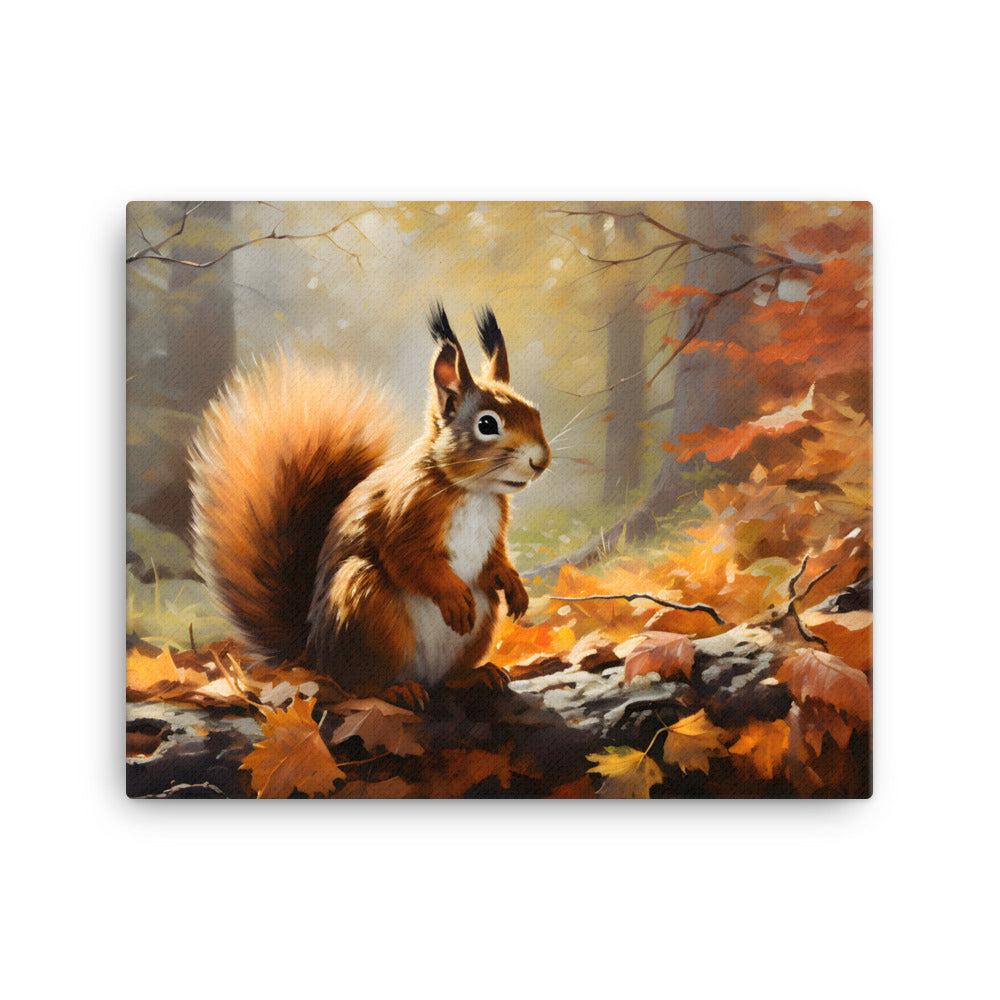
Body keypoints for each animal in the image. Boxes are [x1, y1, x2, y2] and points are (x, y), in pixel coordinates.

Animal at [189, 304, 551, 704]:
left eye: (535, 412)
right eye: (487, 424)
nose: (540, 461)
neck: (473, 492)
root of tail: (315, 656)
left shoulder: (495, 529)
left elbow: (495, 558)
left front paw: (514, 584)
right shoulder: (402, 514)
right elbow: (409, 559)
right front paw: (453, 596)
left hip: (477, 621)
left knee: (445, 677)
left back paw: (474, 675)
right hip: (366, 603)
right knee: (361, 686)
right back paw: (398, 689)